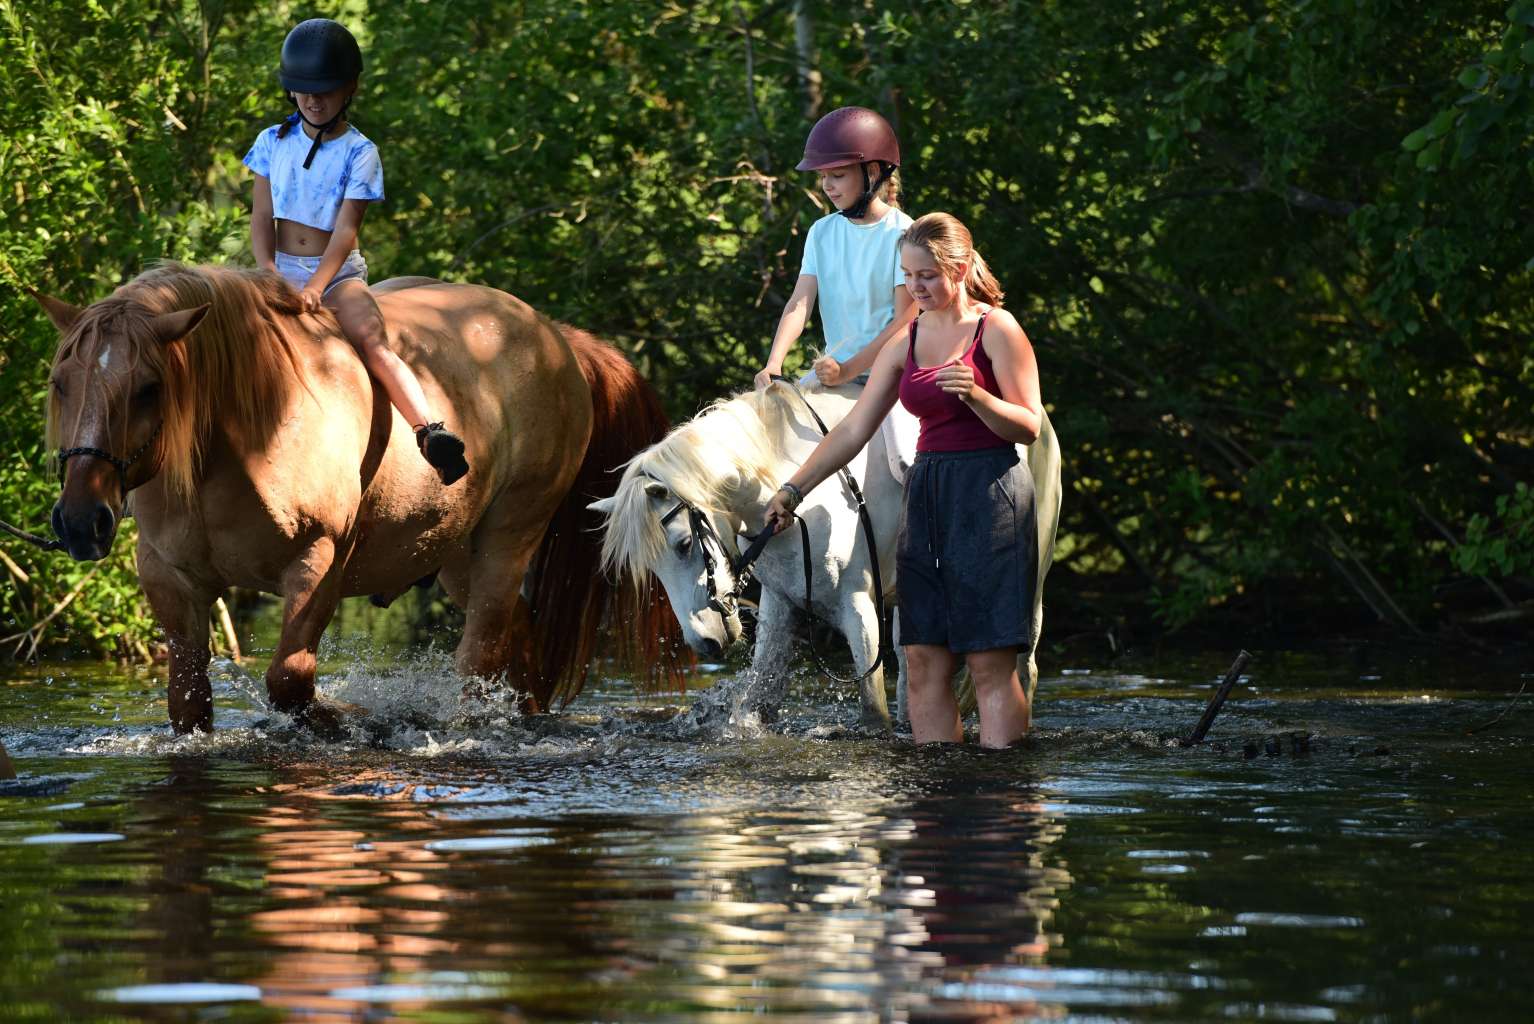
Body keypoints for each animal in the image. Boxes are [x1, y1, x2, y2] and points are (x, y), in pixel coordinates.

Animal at [37, 263, 678, 734]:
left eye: (149, 388)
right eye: (60, 383)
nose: (80, 521)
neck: (246, 436)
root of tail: (555, 337)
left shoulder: (319, 559)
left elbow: (291, 681)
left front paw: (348, 718)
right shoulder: (168, 575)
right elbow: (189, 703)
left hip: (510, 536)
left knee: (481, 654)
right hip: (456, 553)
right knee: (516, 637)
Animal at [587, 380, 1062, 731]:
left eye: (684, 545)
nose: (704, 642)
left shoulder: (858, 607)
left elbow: (873, 712)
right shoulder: (780, 607)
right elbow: (754, 705)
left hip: (1030, 589)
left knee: (1023, 669)